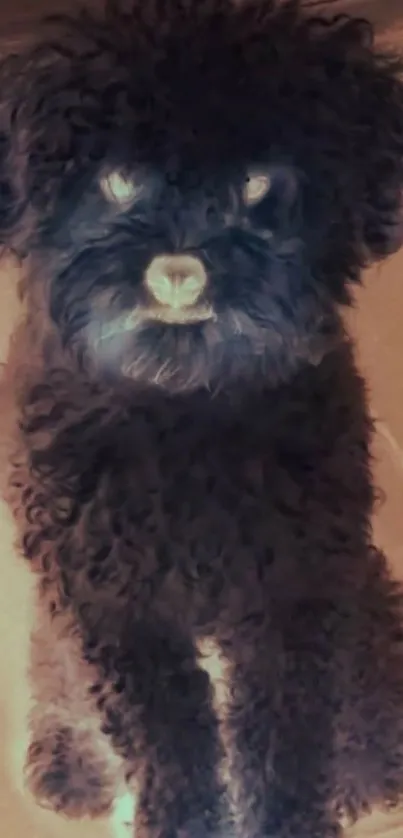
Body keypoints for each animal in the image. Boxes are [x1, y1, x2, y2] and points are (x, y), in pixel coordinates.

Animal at [2, 1, 403, 838]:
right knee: (53, 669)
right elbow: (169, 739)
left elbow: (283, 739)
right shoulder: (120, 607)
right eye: (120, 178)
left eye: (257, 183)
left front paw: (290, 818)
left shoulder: (288, 590)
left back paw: (368, 766)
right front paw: (181, 819)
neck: (184, 394)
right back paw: (69, 760)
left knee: (371, 652)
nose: (178, 273)